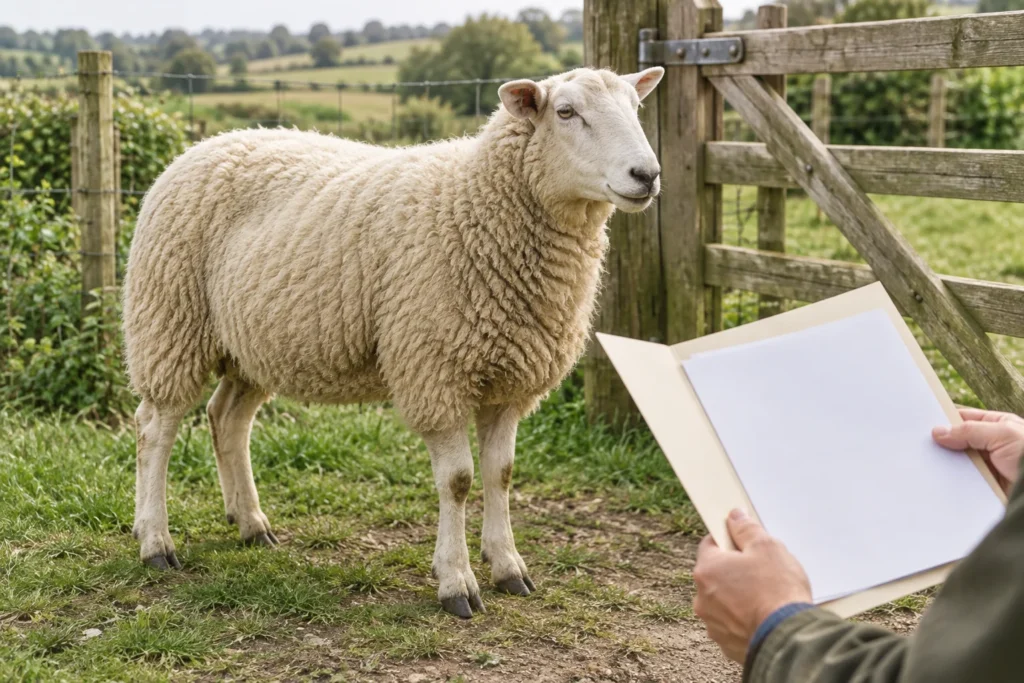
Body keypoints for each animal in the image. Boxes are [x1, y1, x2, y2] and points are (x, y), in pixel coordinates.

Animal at [122, 66, 665, 618]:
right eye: (566, 112)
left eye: (636, 107)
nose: (647, 175)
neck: (478, 204)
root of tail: (207, 144)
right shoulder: (435, 369)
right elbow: (459, 480)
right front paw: (457, 582)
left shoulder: (510, 380)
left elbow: (502, 474)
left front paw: (508, 566)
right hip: (170, 321)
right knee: (155, 428)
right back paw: (155, 542)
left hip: (254, 345)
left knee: (227, 419)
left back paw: (251, 524)